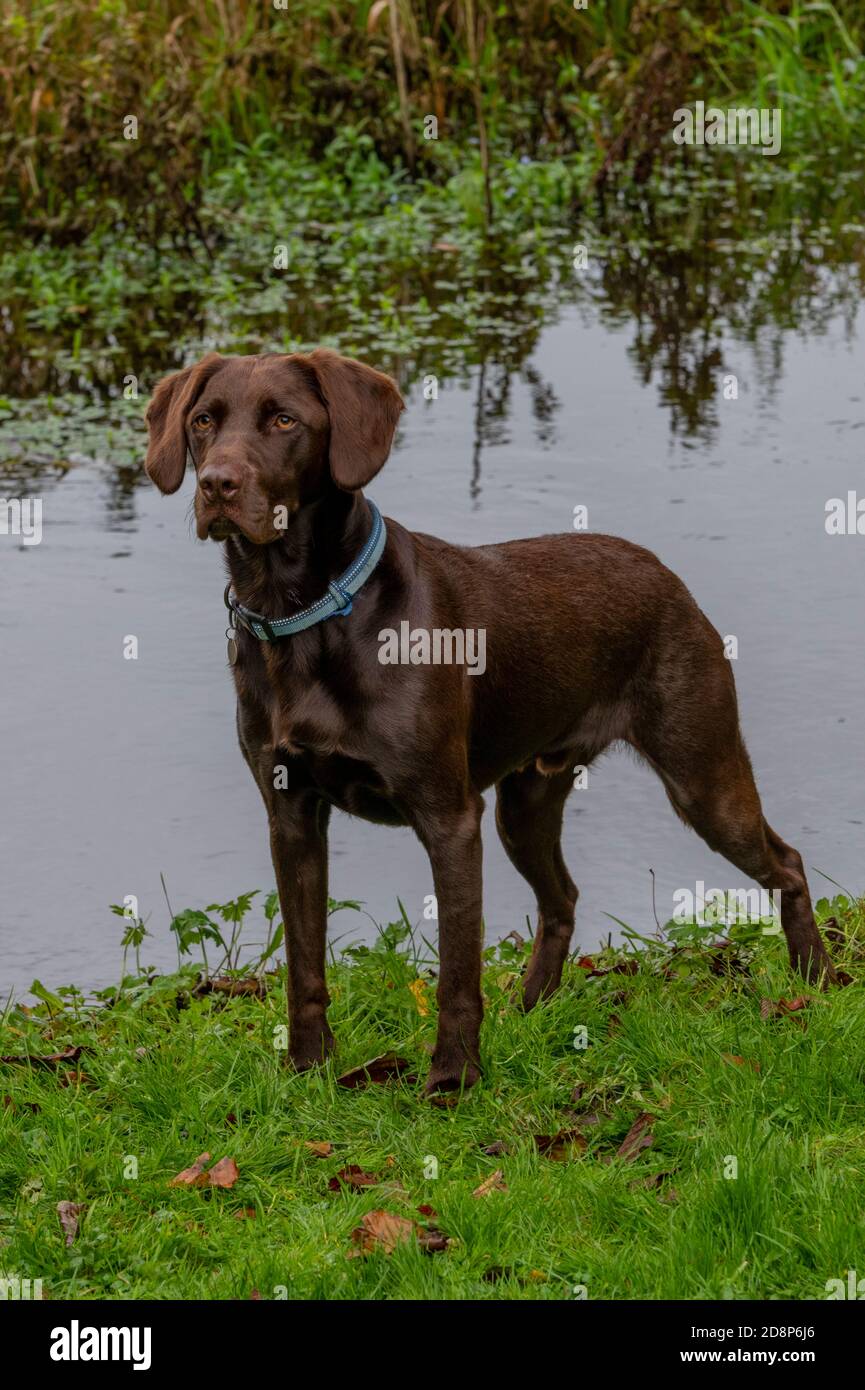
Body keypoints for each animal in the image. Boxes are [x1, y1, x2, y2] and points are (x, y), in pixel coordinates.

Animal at [147, 347, 839, 1095]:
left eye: (283, 420)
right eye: (203, 421)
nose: (216, 485)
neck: (307, 614)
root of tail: (663, 571)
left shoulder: (449, 819)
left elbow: (457, 973)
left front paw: (452, 1080)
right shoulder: (291, 816)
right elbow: (306, 966)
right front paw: (308, 1071)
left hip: (703, 778)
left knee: (787, 863)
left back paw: (815, 980)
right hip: (525, 804)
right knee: (562, 898)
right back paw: (533, 1008)